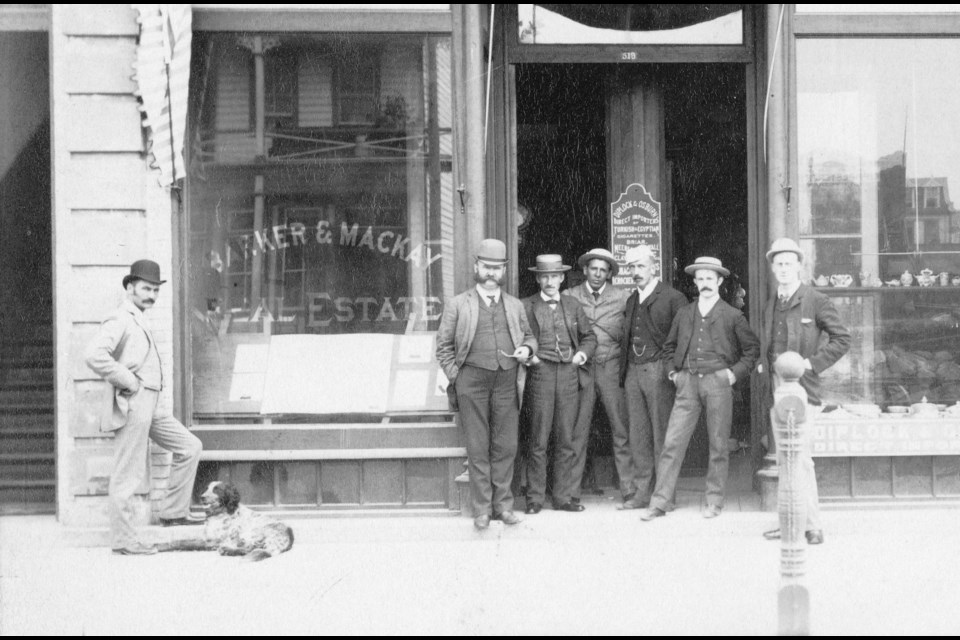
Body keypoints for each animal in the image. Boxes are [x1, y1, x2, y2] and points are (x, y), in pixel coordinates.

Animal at [159, 480, 294, 560]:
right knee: (251, 548)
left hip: (253, 533)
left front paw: (158, 546)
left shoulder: (215, 540)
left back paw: (227, 550)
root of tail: (289, 534)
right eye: (206, 488)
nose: (202, 497)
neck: (220, 513)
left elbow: (183, 542)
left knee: (251, 548)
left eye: (217, 489)